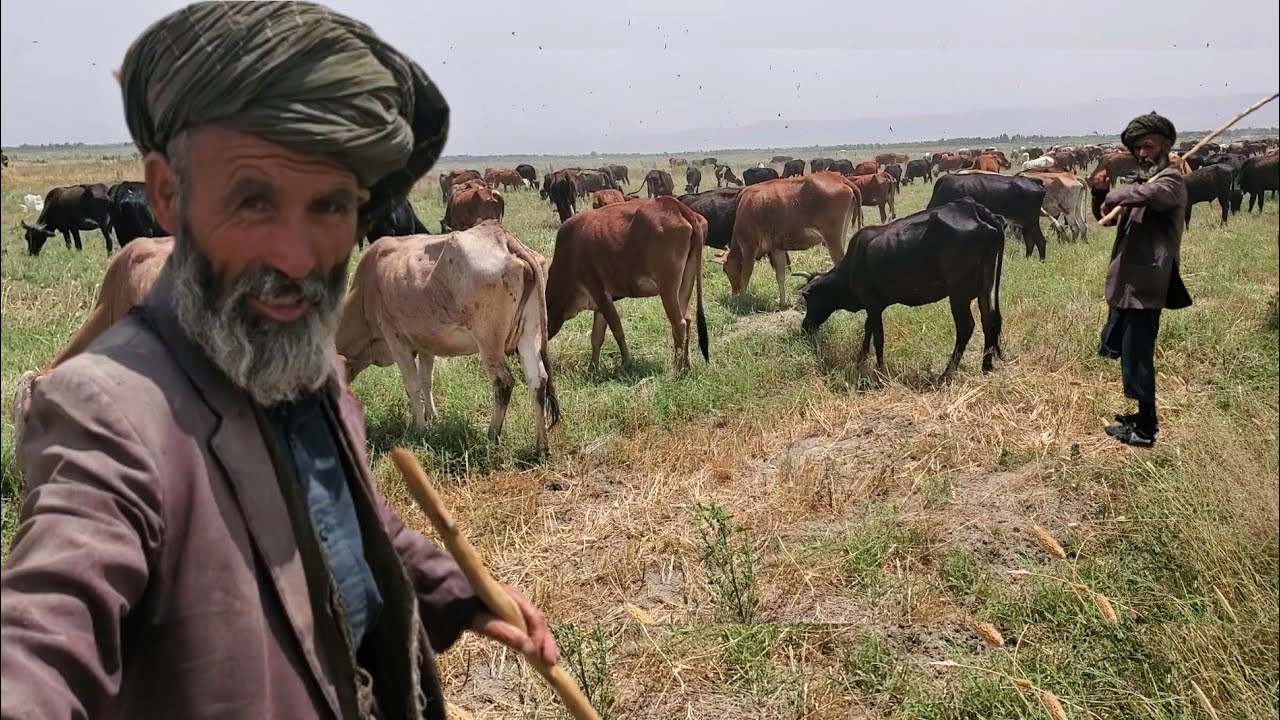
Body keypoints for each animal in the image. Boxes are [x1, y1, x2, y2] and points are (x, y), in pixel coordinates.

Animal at [335, 222, 560, 458]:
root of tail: (502, 236)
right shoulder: (425, 344)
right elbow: (426, 381)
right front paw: (432, 417)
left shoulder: (395, 339)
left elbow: (412, 385)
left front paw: (419, 429)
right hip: (529, 334)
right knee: (538, 381)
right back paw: (542, 448)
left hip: (489, 342)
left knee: (503, 383)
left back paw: (492, 436)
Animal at [545, 196, 709, 372]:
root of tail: (675, 205)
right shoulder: (600, 303)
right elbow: (597, 337)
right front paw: (592, 368)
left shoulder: (599, 292)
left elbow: (617, 330)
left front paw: (626, 362)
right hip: (686, 282)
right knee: (688, 319)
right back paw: (686, 365)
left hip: (668, 288)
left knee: (679, 324)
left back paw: (677, 369)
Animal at [724, 172, 859, 308]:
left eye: (724, 270)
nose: (734, 293)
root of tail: (838, 178)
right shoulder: (777, 249)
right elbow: (780, 277)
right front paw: (783, 303)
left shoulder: (749, 248)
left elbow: (745, 277)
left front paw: (741, 301)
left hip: (832, 240)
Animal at [792, 197, 1005, 378]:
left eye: (808, 298)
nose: (804, 327)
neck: (851, 265)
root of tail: (973, 208)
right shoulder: (874, 306)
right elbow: (868, 330)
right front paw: (860, 360)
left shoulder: (872, 303)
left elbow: (878, 337)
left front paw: (879, 371)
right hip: (984, 288)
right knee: (988, 320)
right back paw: (986, 367)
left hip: (958, 294)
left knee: (966, 327)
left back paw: (947, 373)